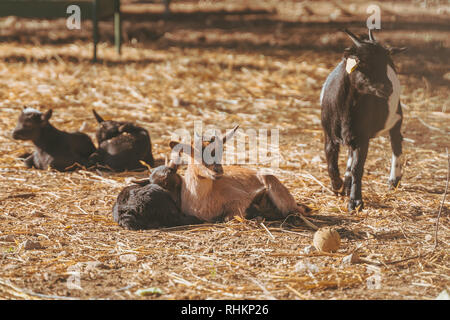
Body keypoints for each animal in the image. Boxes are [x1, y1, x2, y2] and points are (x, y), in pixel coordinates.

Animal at [320, 28, 408, 211]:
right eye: (364, 64)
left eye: (384, 65)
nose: (388, 88)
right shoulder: (329, 135)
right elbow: (331, 164)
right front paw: (337, 185)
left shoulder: (362, 138)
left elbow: (358, 168)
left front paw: (355, 202)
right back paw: (346, 183)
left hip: (396, 114)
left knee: (396, 141)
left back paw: (393, 180)